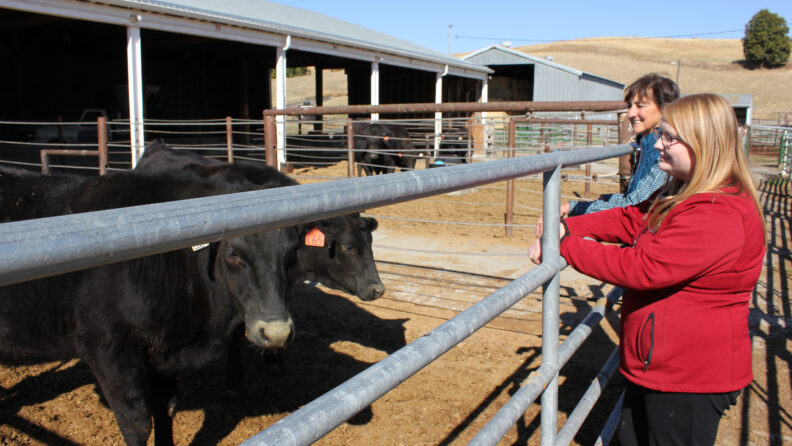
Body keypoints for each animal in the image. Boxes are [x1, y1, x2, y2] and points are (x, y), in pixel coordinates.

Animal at [0, 166, 296, 446]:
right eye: (233, 253)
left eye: (291, 253)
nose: (277, 332)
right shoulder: (105, 349)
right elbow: (137, 424)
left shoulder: (163, 353)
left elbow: (164, 408)